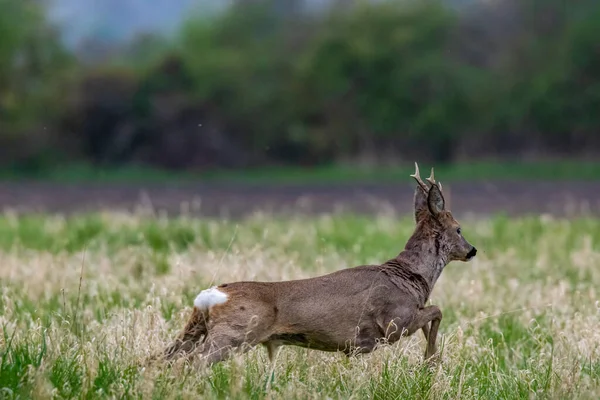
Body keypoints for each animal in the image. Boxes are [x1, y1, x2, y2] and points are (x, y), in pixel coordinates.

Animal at [162, 162, 476, 366]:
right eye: (459, 229)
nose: (472, 250)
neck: (412, 278)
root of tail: (211, 296)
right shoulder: (394, 323)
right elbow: (437, 310)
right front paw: (430, 361)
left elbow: (432, 313)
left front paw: (433, 361)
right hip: (236, 333)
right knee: (192, 362)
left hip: (196, 329)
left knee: (164, 358)